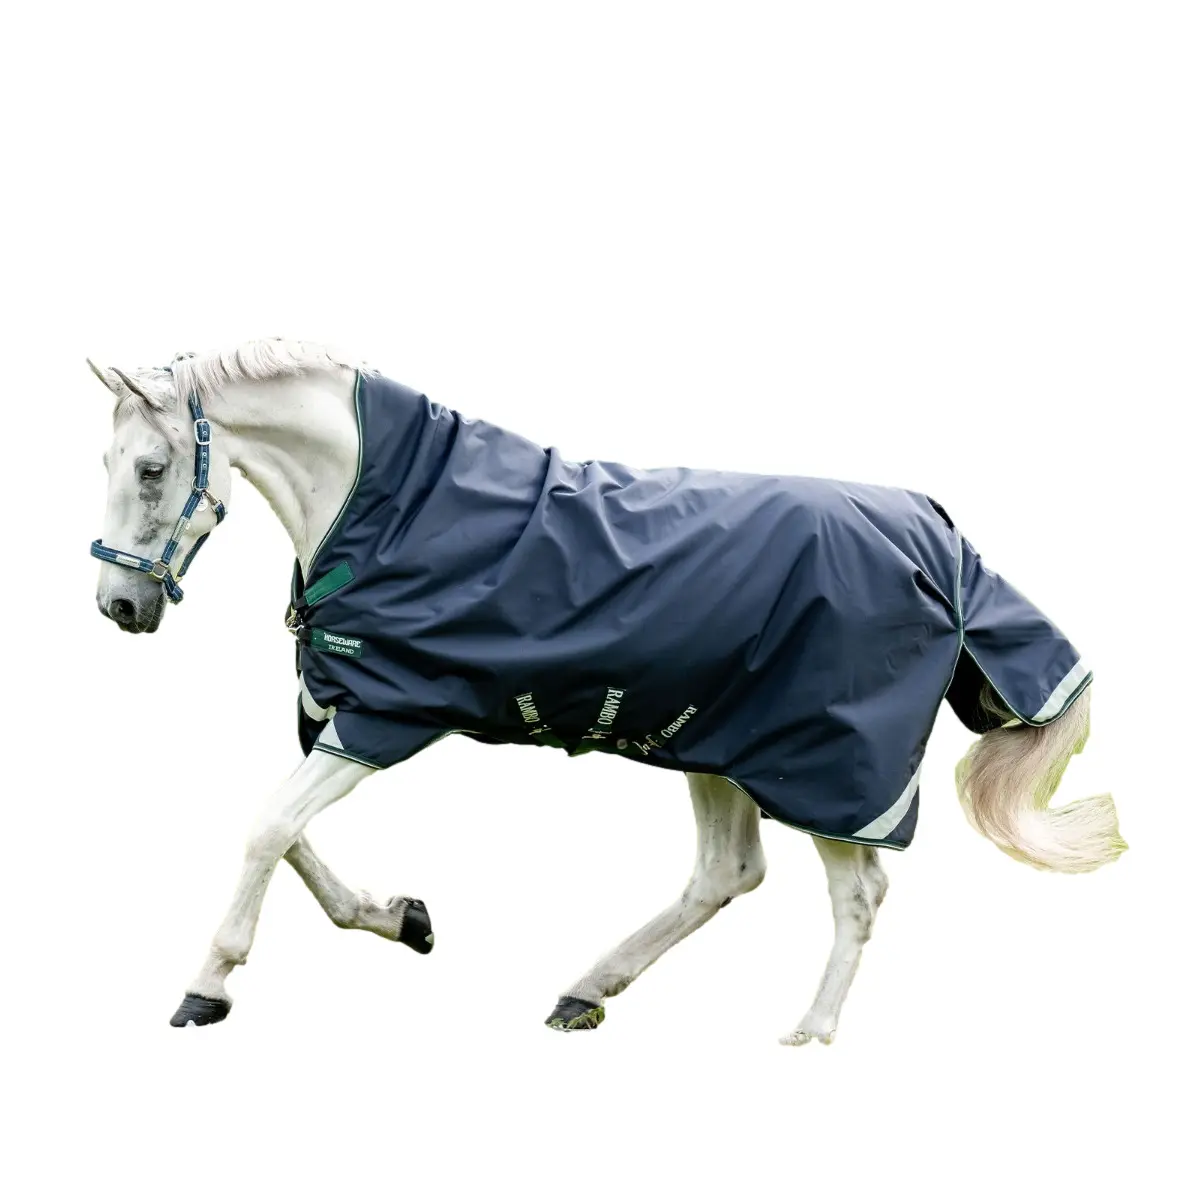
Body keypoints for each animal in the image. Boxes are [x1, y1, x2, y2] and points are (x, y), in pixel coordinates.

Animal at [87, 339, 1127, 1045]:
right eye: (106, 463)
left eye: (151, 468)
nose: (119, 606)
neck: (392, 508)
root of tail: (941, 540)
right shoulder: (339, 718)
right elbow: (281, 827)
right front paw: (403, 919)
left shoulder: (390, 714)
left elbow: (268, 828)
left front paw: (207, 988)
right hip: (717, 741)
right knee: (727, 875)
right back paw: (584, 992)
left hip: (830, 771)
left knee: (858, 891)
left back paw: (809, 1035)